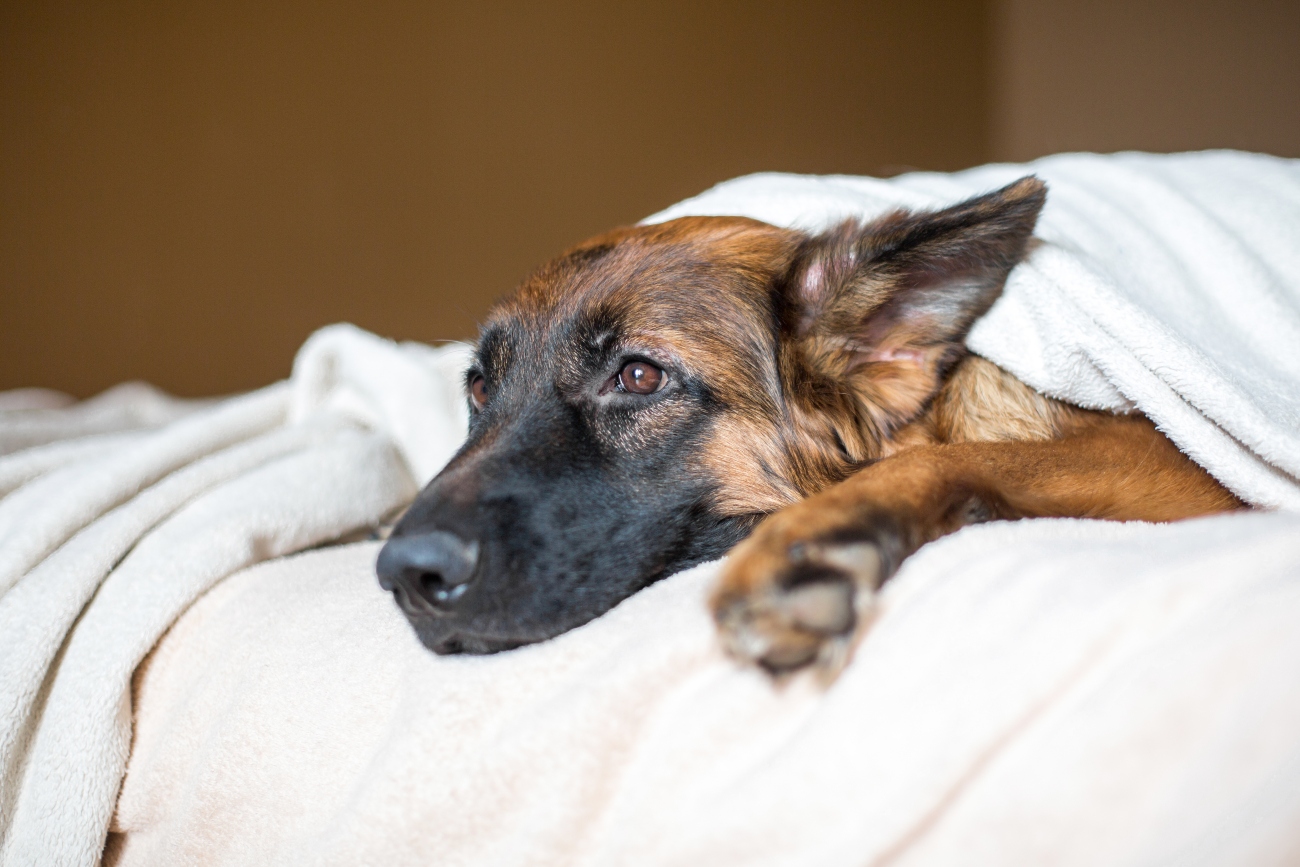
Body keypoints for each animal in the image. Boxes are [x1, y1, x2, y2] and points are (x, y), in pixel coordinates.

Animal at [374, 179, 1237, 675]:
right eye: (479, 386)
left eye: (639, 376)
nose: (405, 574)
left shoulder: (1172, 464)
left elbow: (956, 461)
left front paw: (813, 543)